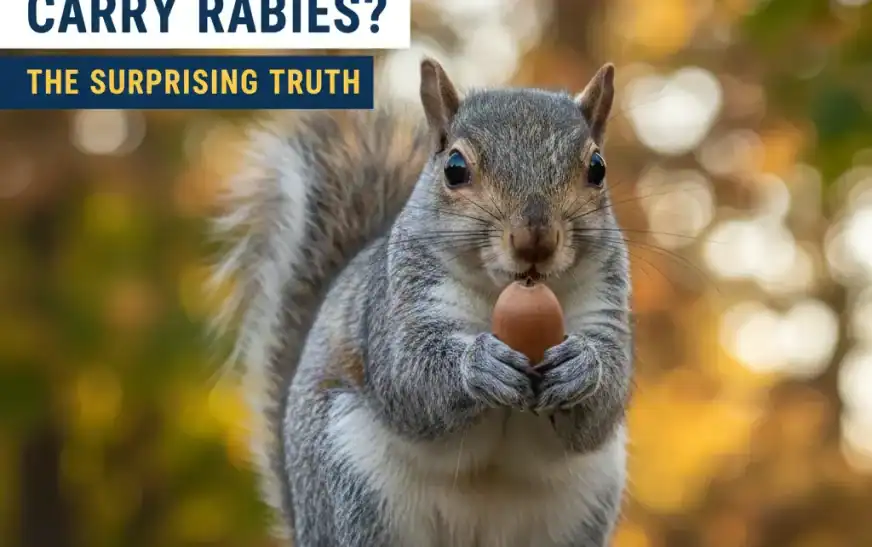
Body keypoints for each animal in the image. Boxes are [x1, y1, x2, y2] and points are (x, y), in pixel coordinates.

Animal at [210, 57, 633, 547]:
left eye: (598, 168)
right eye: (455, 168)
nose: (536, 239)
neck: (502, 291)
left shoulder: (606, 300)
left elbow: (605, 400)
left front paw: (582, 367)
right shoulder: (402, 301)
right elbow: (409, 374)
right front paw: (478, 365)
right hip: (354, 489)